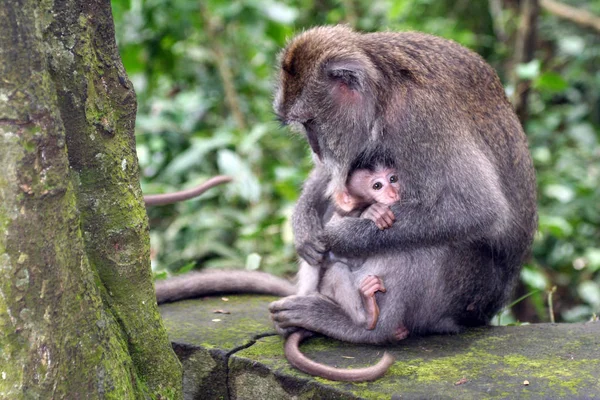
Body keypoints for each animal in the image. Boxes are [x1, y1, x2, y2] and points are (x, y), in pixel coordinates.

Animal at [270, 24, 536, 346]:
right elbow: (336, 176)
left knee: (426, 244)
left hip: (467, 295)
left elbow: (478, 210)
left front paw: (340, 236)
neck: (383, 93)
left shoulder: (421, 121)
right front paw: (305, 223)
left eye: (311, 122)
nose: (316, 149)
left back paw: (365, 326)